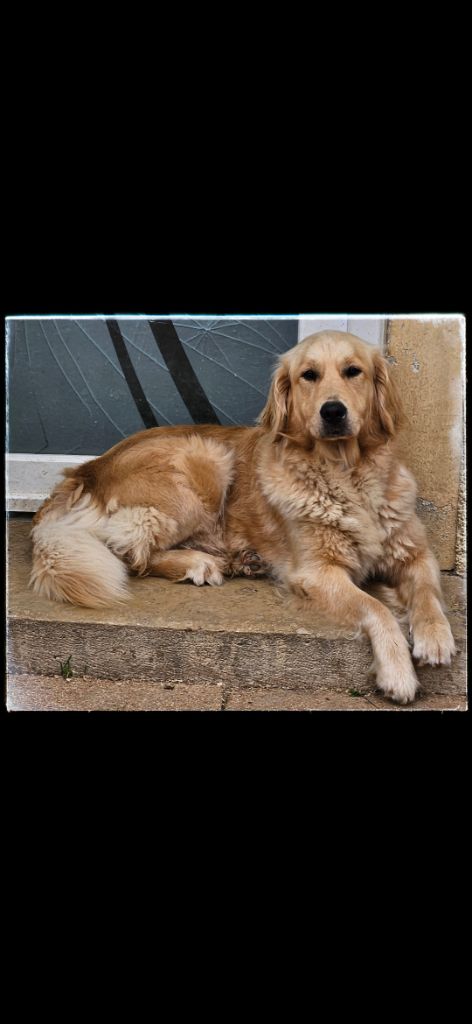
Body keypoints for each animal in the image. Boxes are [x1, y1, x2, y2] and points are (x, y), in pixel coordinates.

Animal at [30, 331, 456, 700]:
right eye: (309, 375)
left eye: (353, 371)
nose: (333, 411)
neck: (345, 473)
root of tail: (87, 468)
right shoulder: (318, 572)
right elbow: (376, 608)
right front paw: (398, 673)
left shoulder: (415, 552)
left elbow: (427, 591)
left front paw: (436, 637)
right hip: (205, 461)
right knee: (130, 551)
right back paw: (199, 563)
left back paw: (237, 559)